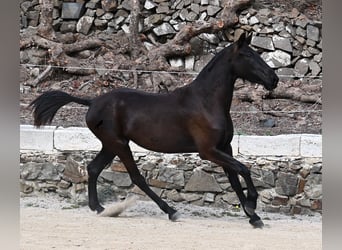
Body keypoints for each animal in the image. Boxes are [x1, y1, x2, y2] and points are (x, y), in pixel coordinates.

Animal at [30, 33, 278, 229]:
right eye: (248, 56)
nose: (274, 79)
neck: (206, 102)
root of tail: (91, 102)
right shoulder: (208, 151)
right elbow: (244, 169)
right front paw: (252, 204)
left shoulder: (224, 148)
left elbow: (235, 179)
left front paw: (253, 216)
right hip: (119, 145)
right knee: (136, 177)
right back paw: (170, 211)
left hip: (111, 145)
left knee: (93, 168)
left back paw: (99, 208)